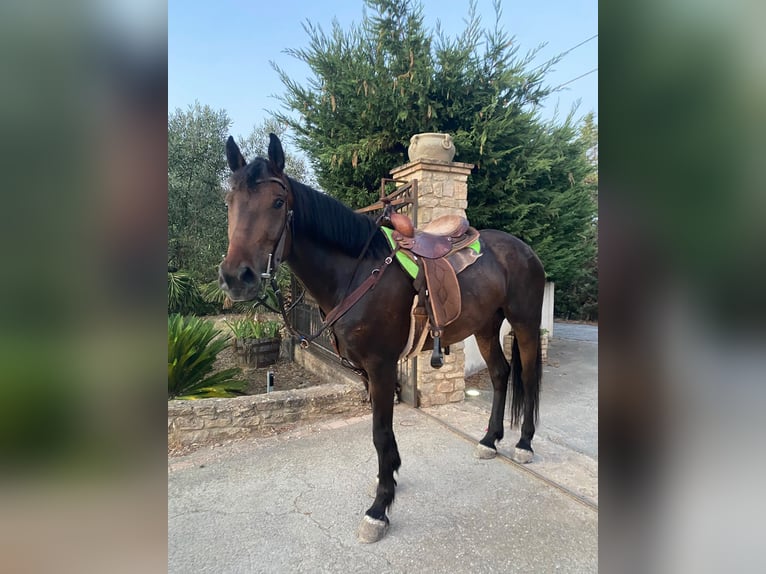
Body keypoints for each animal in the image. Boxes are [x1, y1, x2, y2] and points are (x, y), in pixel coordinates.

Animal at [218, 133, 546, 543]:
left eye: (278, 202)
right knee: (501, 375)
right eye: (229, 202)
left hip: (524, 323)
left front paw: (379, 508)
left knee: (528, 377)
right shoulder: (364, 370)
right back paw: (489, 441)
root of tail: (524, 249)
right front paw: (389, 478)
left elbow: (379, 432)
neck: (357, 273)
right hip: (486, 326)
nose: (236, 277)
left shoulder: (381, 366)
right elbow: (383, 437)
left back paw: (524, 443)